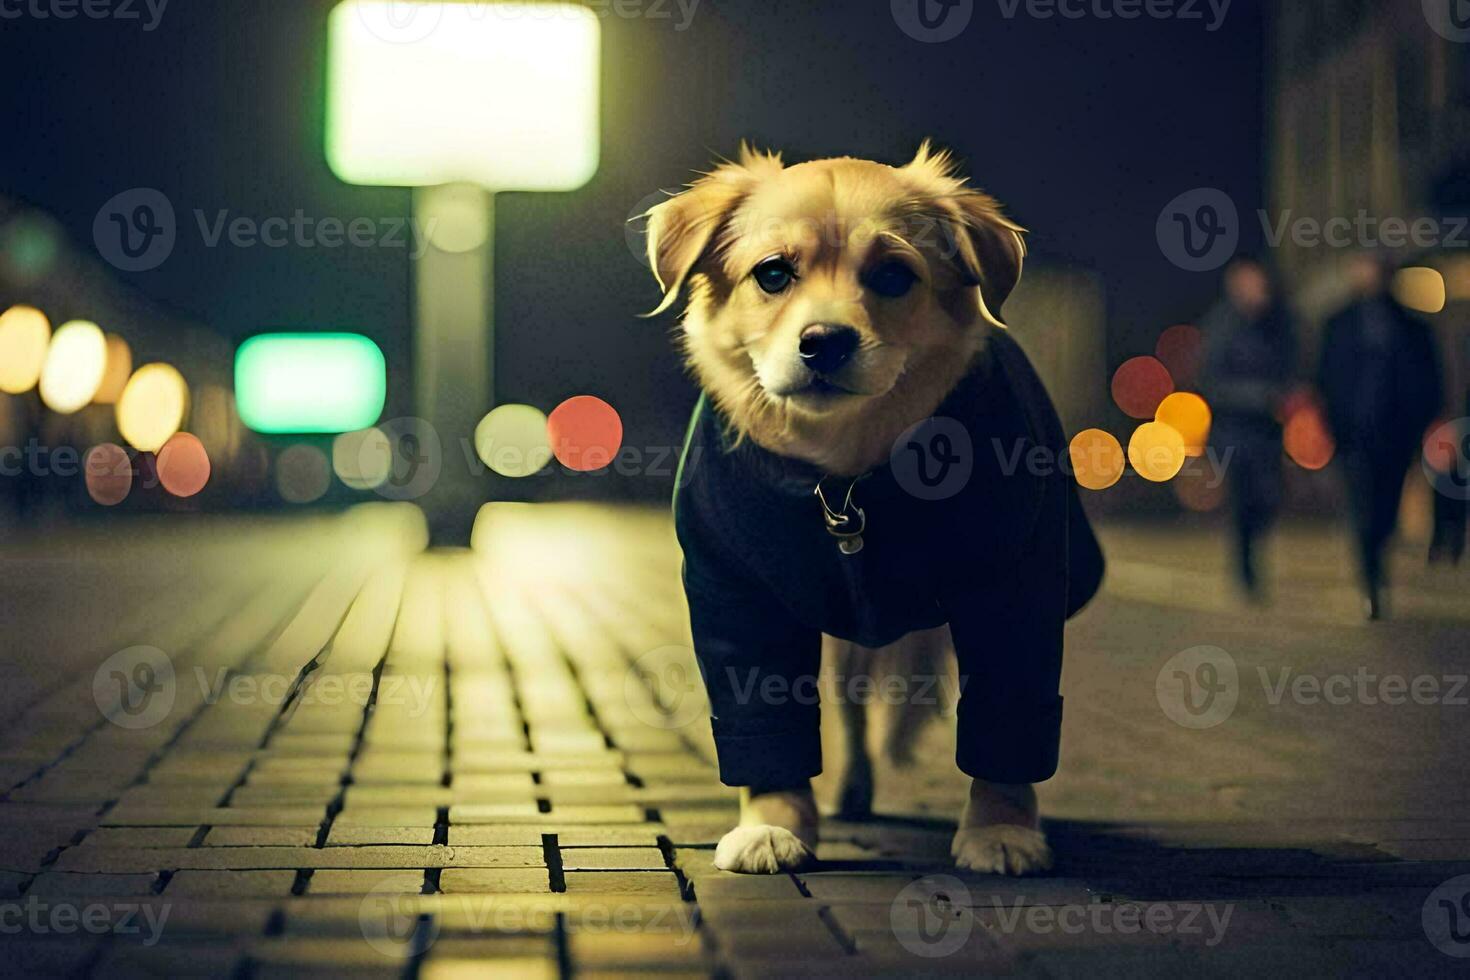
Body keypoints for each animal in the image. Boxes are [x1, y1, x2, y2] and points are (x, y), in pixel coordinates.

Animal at [646, 141, 1105, 875]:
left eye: (893, 276)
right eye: (772, 273)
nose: (824, 340)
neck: (845, 475)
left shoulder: (1014, 587)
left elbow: (1008, 712)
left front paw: (1001, 829)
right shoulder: (737, 595)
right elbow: (763, 714)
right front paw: (774, 824)